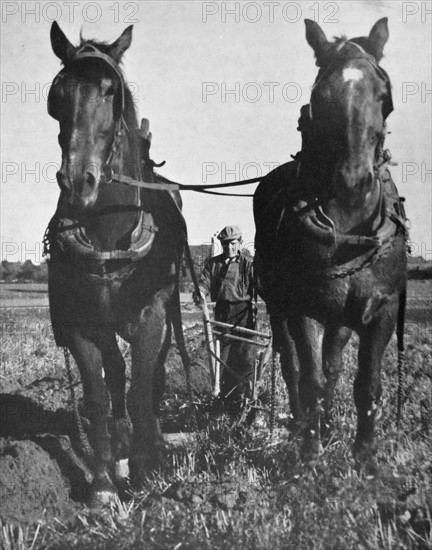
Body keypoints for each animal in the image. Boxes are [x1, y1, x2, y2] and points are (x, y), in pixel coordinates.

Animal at [45, 21, 191, 504]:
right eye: (58, 94)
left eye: (112, 92)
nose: (78, 181)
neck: (109, 235)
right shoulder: (80, 325)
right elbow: (97, 396)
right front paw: (104, 484)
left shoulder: (152, 316)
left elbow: (145, 387)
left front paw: (148, 467)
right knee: (115, 375)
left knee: (155, 377)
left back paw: (152, 445)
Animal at [255, 18, 406, 470]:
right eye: (321, 96)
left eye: (383, 96)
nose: (353, 182)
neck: (349, 229)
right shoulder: (302, 308)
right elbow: (310, 378)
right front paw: (311, 452)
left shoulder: (382, 309)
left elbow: (366, 383)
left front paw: (365, 456)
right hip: (278, 305)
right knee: (292, 365)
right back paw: (302, 424)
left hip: (340, 316)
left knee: (335, 364)